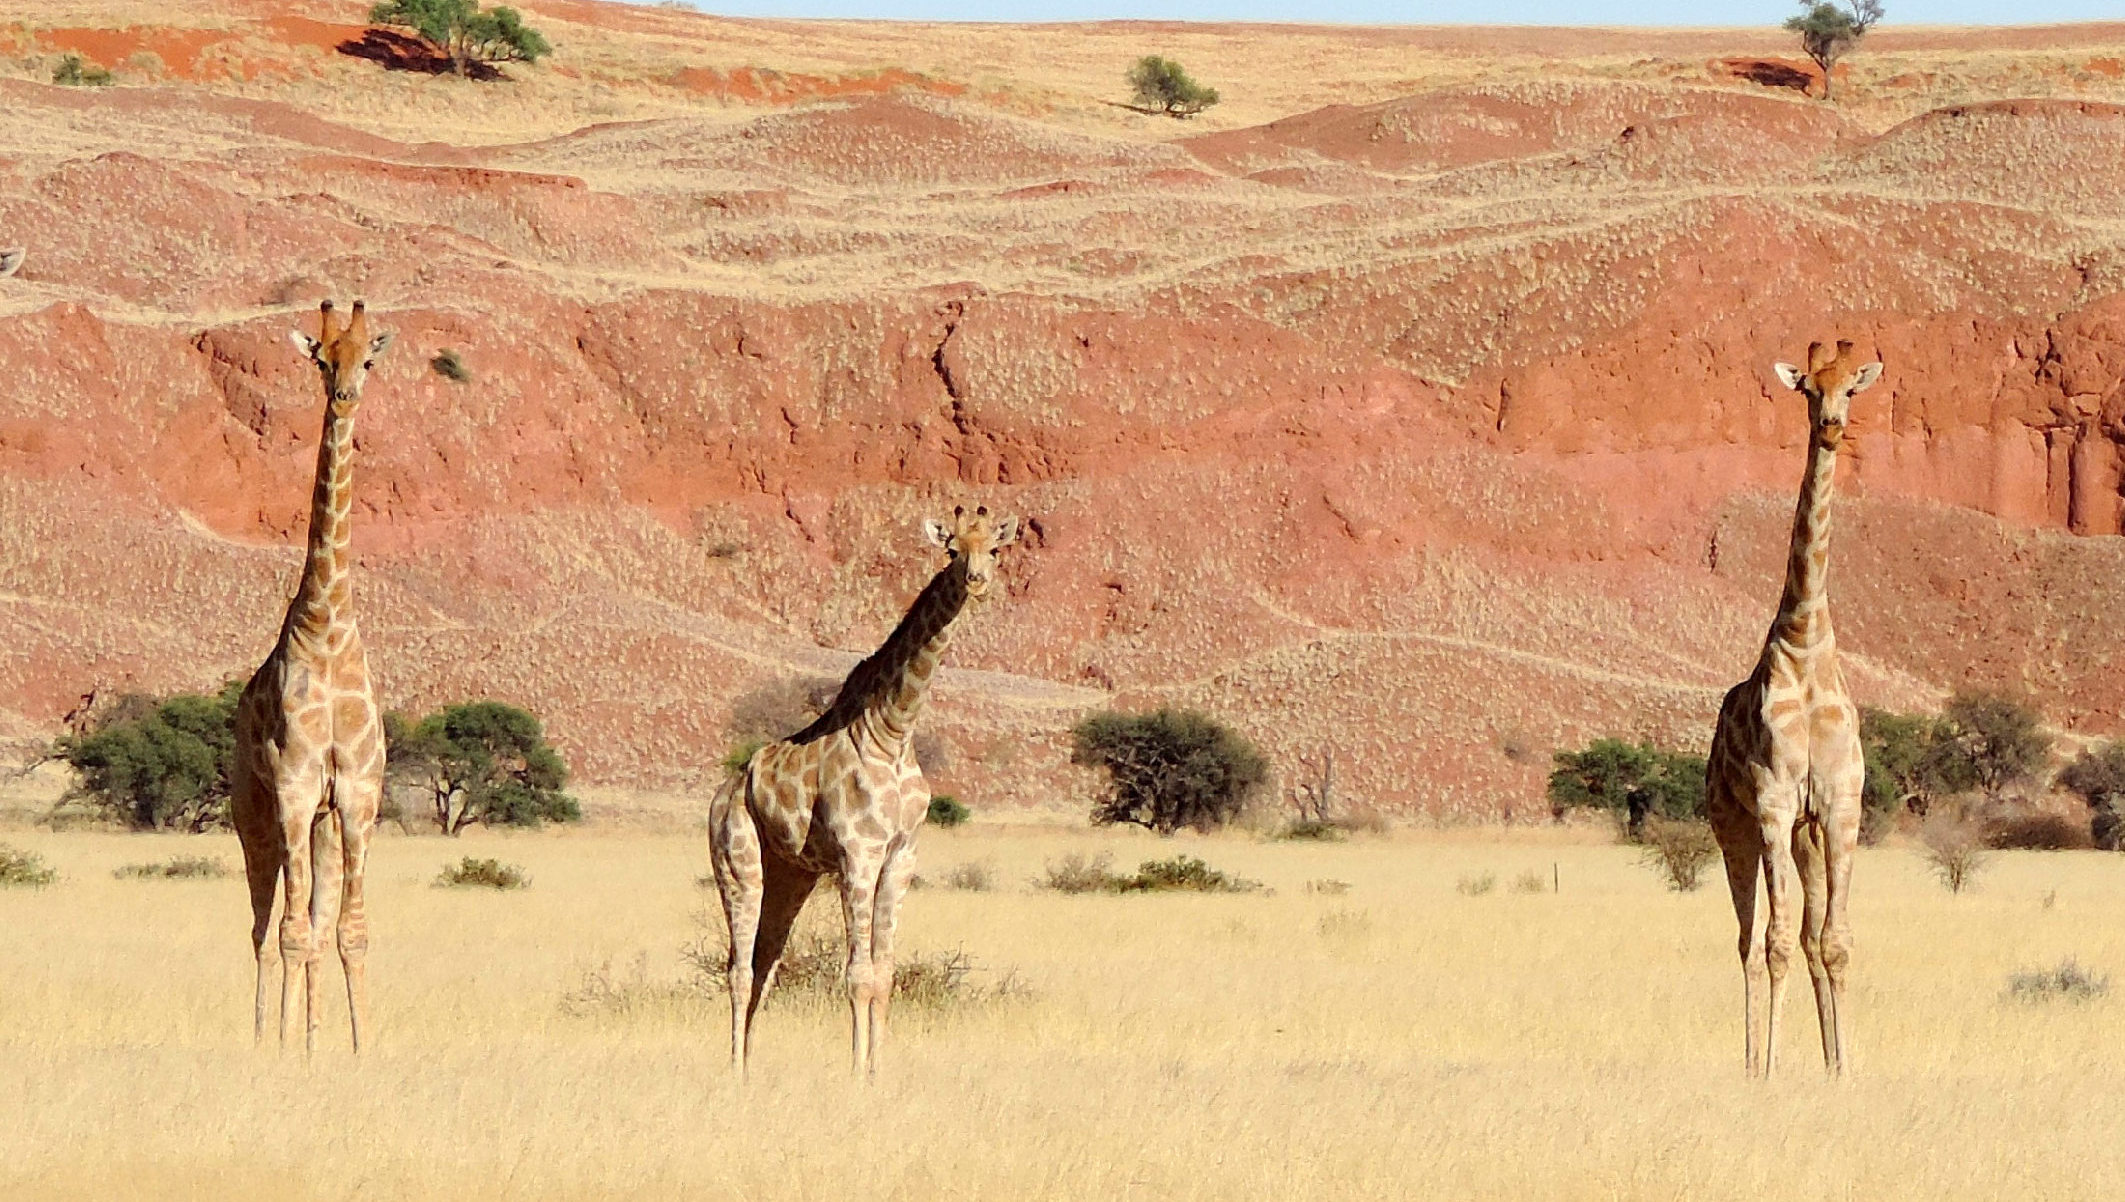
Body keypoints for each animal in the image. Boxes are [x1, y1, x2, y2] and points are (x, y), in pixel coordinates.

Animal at [709, 504, 1020, 1078]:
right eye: (952, 550)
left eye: (995, 549)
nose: (976, 581)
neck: (893, 731)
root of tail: (725, 790)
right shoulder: (859, 853)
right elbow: (857, 974)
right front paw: (857, 1073)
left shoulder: (901, 856)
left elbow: (885, 972)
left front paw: (878, 1069)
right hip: (737, 862)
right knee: (738, 968)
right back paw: (736, 1071)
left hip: (791, 876)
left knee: (765, 963)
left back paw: (752, 1064)